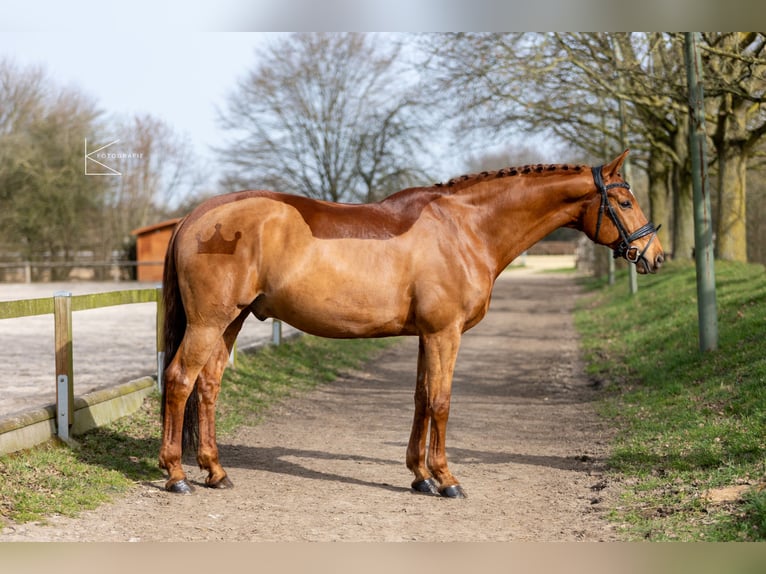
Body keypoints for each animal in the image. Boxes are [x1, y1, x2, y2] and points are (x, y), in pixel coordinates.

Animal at [158, 150, 664, 497]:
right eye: (623, 200)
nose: (655, 256)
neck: (464, 229)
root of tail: (195, 217)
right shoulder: (444, 334)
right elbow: (441, 402)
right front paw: (446, 479)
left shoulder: (427, 336)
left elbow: (421, 398)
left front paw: (420, 477)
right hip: (209, 323)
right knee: (180, 380)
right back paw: (177, 474)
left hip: (232, 322)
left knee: (208, 387)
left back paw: (215, 471)